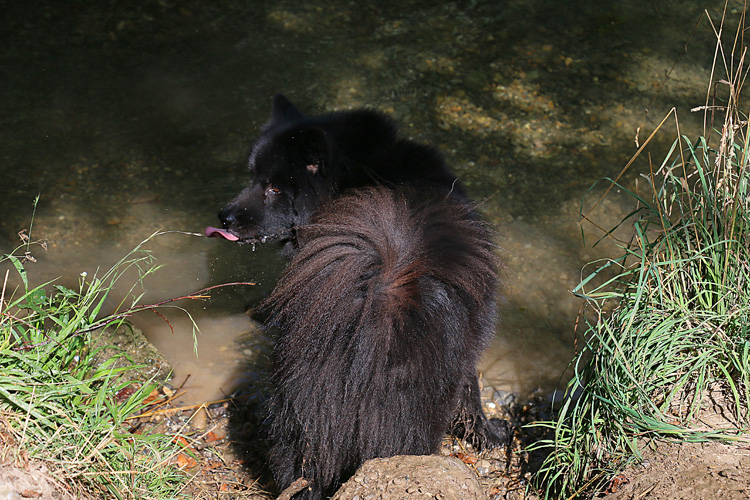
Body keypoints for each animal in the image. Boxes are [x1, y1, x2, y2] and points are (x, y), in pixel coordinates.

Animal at [209, 95, 508, 498]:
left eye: (273, 187)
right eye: (255, 179)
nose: (223, 217)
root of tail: (376, 292)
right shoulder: (468, 346)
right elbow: (472, 393)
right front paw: (491, 436)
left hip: (298, 413)